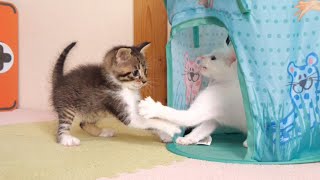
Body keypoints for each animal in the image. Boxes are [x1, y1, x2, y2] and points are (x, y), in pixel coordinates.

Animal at [52, 42, 180, 146]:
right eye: (135, 72)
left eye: (145, 71)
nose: (144, 81)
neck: (126, 88)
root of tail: (60, 80)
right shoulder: (126, 113)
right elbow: (152, 122)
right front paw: (171, 127)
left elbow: (152, 123)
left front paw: (165, 135)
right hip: (67, 106)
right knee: (63, 126)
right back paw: (66, 139)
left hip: (95, 111)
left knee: (83, 123)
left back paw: (103, 132)